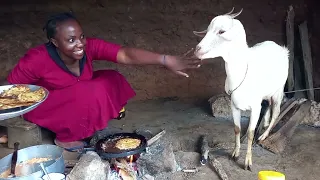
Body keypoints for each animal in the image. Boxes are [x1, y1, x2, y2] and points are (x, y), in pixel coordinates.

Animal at [192, 8, 290, 171]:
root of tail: (281, 49)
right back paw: (264, 125)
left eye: (222, 31)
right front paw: (235, 153)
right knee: (268, 105)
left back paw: (263, 136)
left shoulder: (255, 106)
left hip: (278, 90)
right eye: (207, 30)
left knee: (276, 112)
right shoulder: (234, 104)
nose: (197, 50)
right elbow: (237, 128)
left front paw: (248, 162)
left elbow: (250, 133)